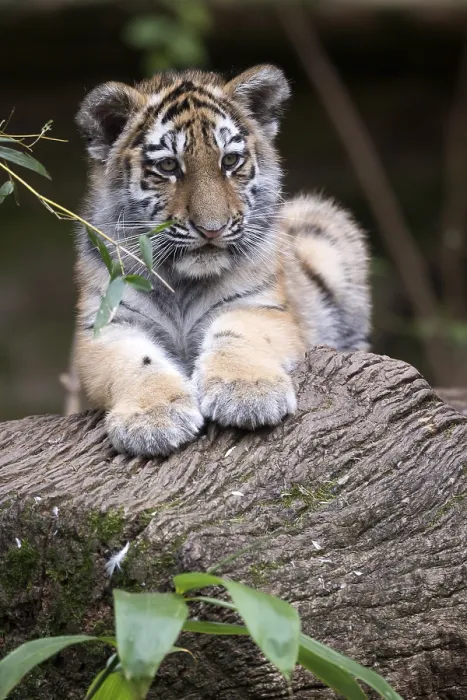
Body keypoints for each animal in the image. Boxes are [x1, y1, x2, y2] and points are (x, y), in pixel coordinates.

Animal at [74, 64, 370, 457]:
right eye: (168, 166)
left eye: (229, 161)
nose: (211, 229)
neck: (181, 281)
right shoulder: (106, 323)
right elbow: (136, 361)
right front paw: (153, 418)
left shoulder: (260, 306)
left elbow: (236, 332)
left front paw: (248, 393)